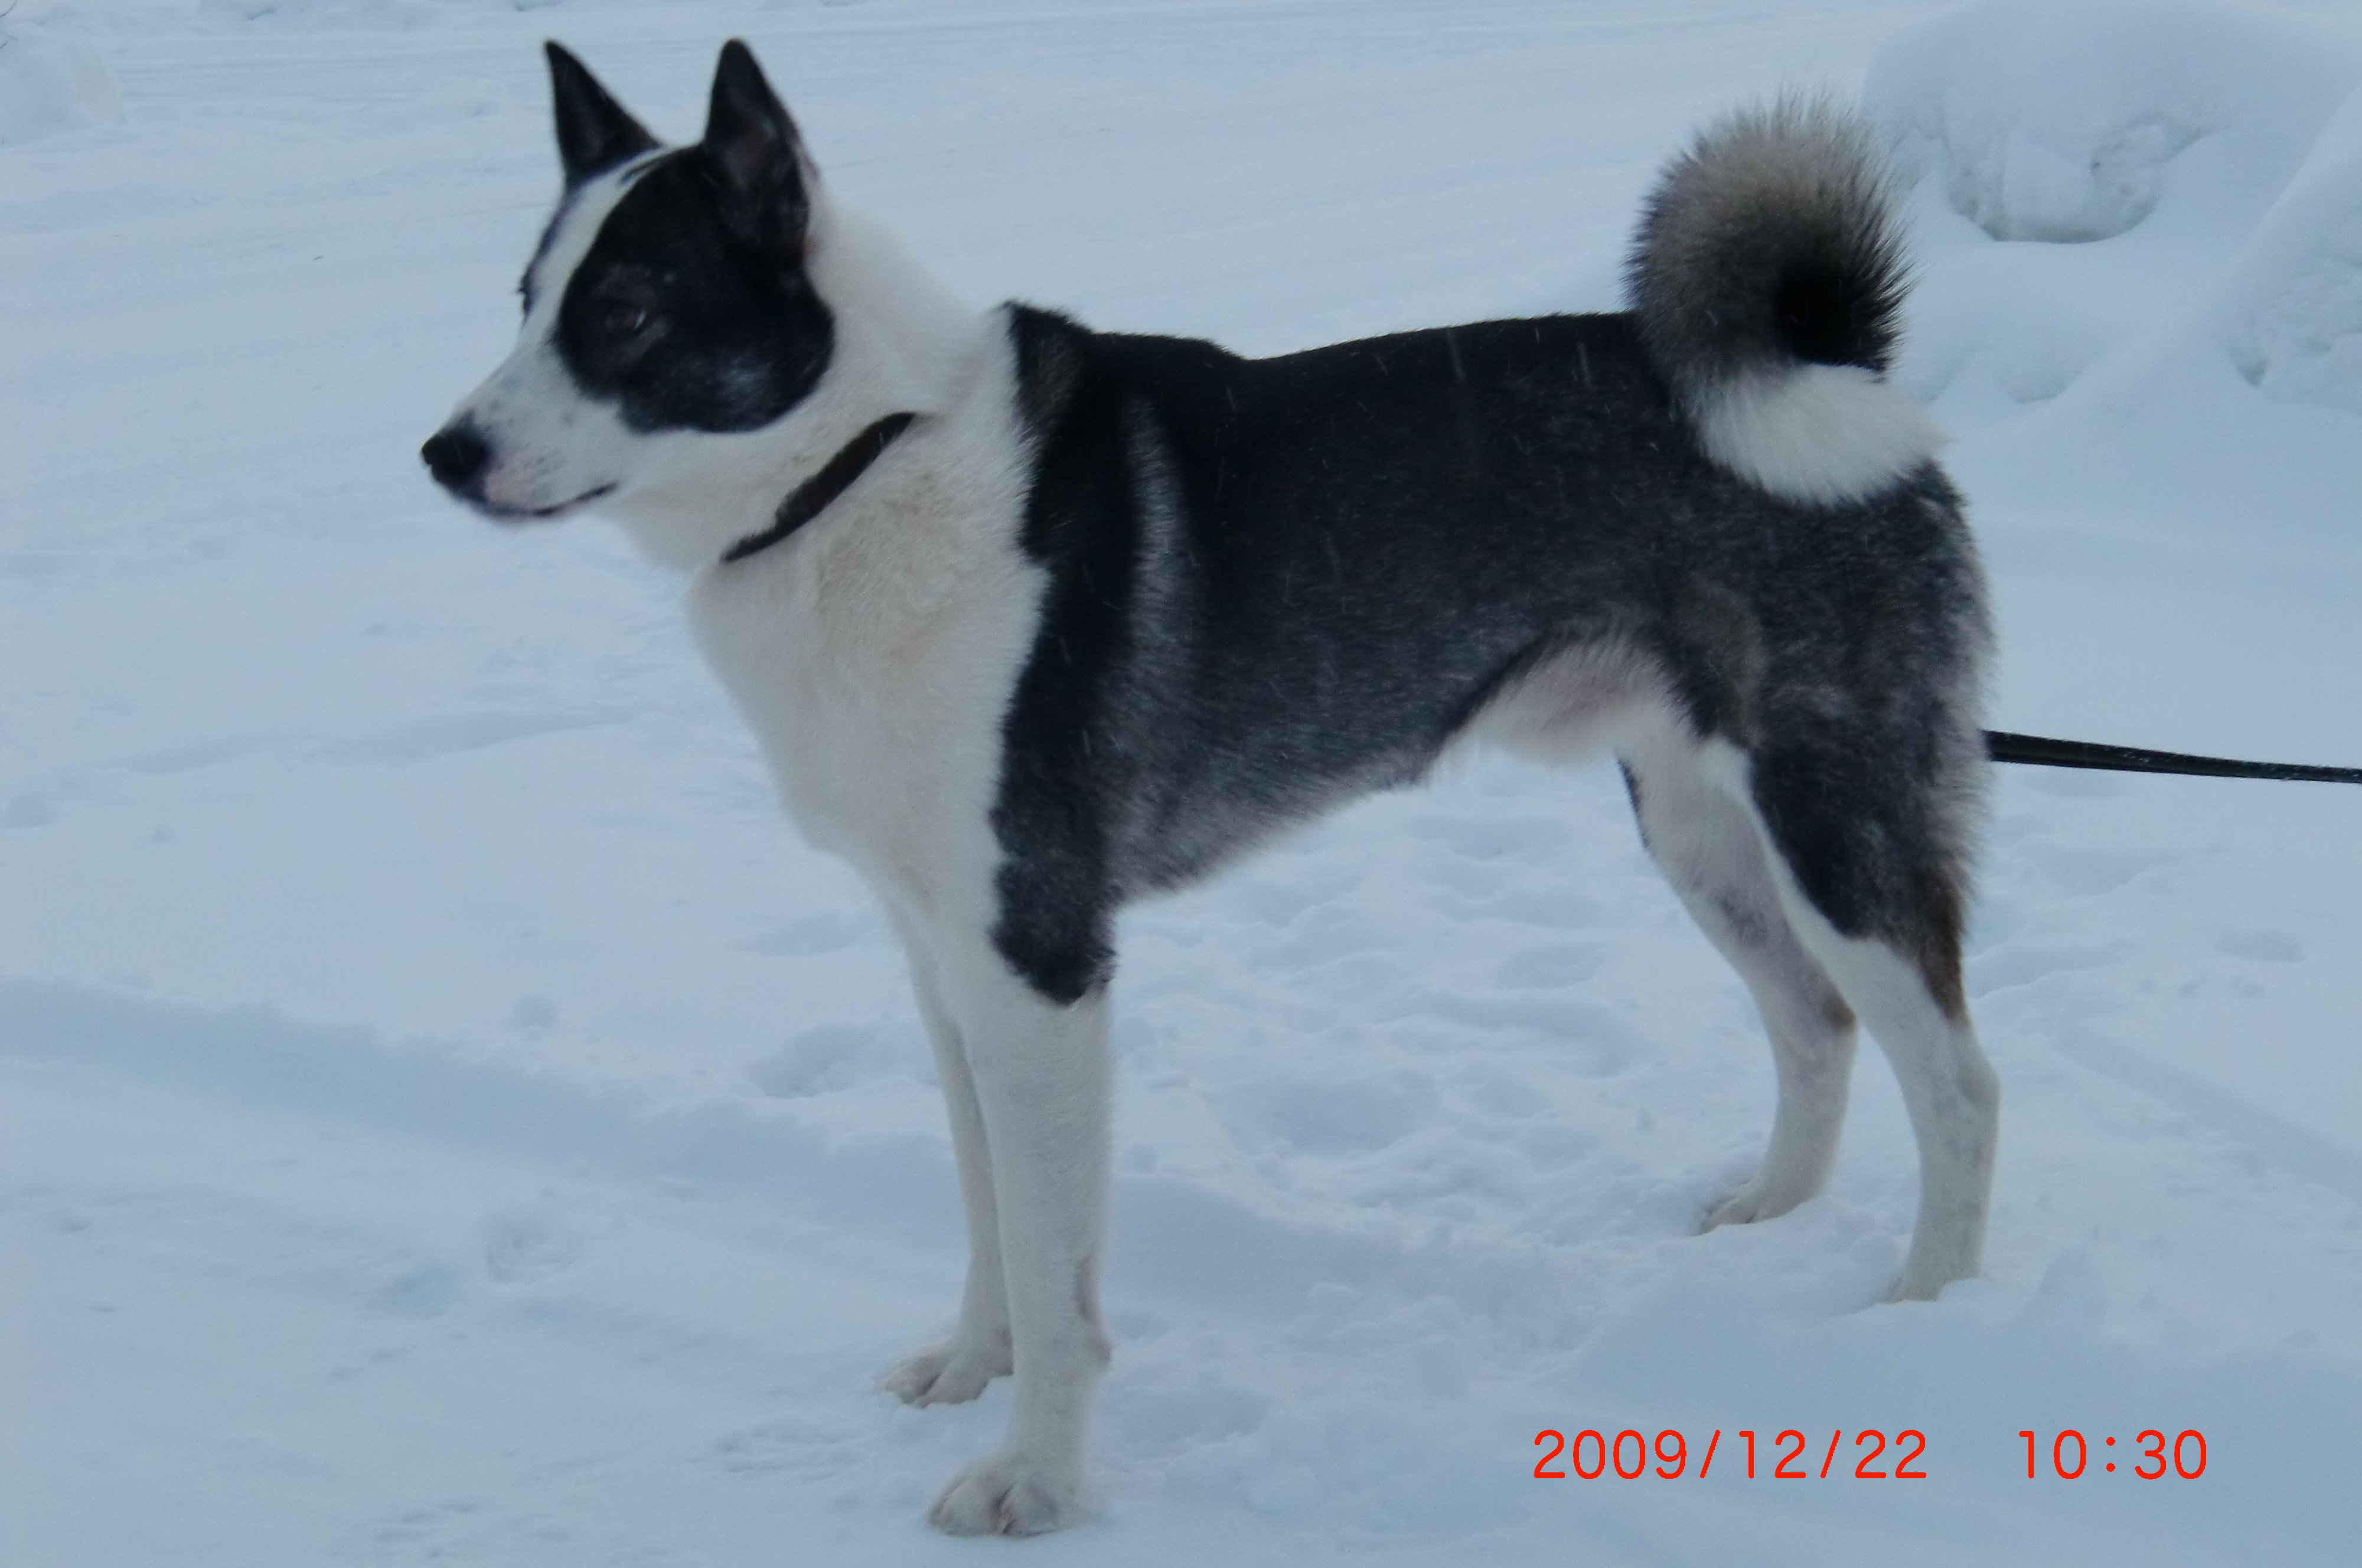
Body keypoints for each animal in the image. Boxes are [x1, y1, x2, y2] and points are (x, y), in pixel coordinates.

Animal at [423, 40, 1999, 1536]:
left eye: (626, 315)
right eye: (527, 300)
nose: (442, 454)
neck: (863, 465)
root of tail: (1838, 369)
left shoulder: (1040, 965)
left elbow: (1052, 1274)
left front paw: (1033, 1482)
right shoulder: (946, 962)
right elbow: (987, 1212)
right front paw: (971, 1367)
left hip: (1831, 816)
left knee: (1956, 1080)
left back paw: (1924, 1314)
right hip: (1691, 825)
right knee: (1813, 1025)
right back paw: (1770, 1216)